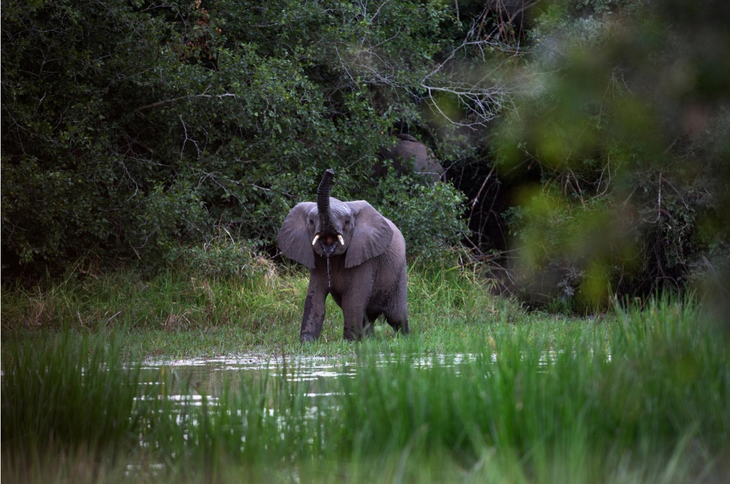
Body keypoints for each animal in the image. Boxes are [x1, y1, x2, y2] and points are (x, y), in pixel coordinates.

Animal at [276, 168, 406, 342]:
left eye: (346, 222)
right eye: (311, 221)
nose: (330, 171)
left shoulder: (366, 259)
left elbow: (353, 301)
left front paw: (350, 343)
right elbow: (314, 298)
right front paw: (307, 343)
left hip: (400, 271)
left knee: (396, 317)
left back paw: (407, 339)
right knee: (369, 318)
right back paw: (370, 341)